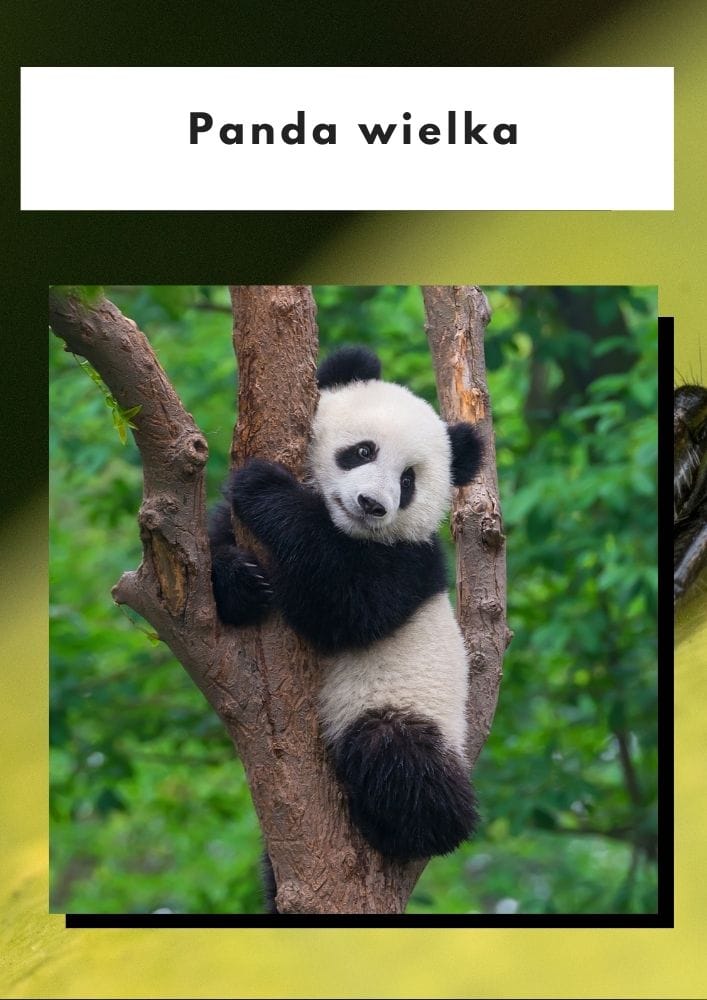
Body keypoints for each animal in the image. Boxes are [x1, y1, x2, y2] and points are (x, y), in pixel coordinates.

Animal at [209, 346, 482, 885]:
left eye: (408, 480)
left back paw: (410, 828)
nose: (372, 504)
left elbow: (345, 604)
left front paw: (265, 488)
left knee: (398, 755)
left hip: (407, 705)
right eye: (362, 451)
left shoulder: (410, 563)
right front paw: (241, 581)